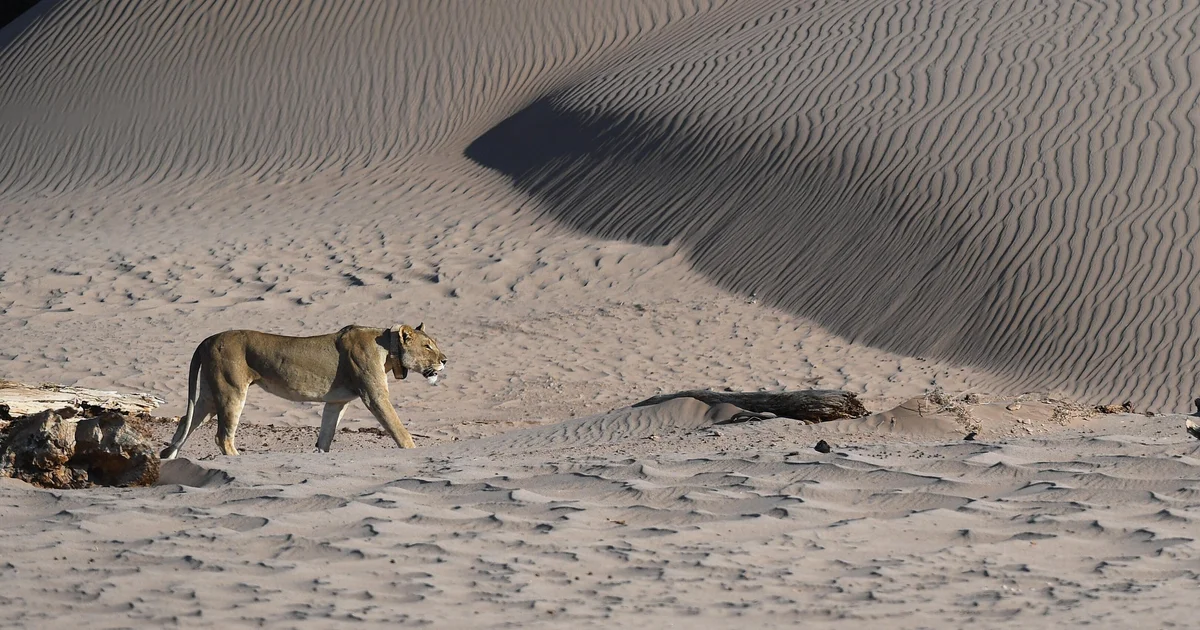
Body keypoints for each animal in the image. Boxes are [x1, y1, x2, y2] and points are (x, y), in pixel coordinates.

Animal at [159, 324, 447, 459]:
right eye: (428, 346)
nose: (445, 360)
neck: (387, 348)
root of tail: (207, 339)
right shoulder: (374, 396)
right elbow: (399, 430)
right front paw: (413, 451)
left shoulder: (337, 402)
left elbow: (326, 435)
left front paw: (320, 455)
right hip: (231, 391)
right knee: (222, 437)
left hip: (209, 394)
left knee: (186, 421)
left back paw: (169, 456)